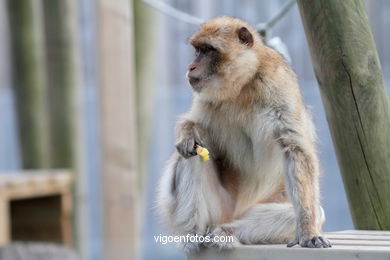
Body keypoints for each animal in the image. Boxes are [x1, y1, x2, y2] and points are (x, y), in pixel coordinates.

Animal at [157, 16, 330, 252]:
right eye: (198, 51)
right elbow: (193, 129)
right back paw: (195, 234)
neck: (243, 85)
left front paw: (308, 230)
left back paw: (226, 232)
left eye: (208, 50)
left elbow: (295, 149)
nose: (191, 66)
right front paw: (188, 133)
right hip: (219, 209)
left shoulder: (278, 84)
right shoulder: (205, 97)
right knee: (192, 156)